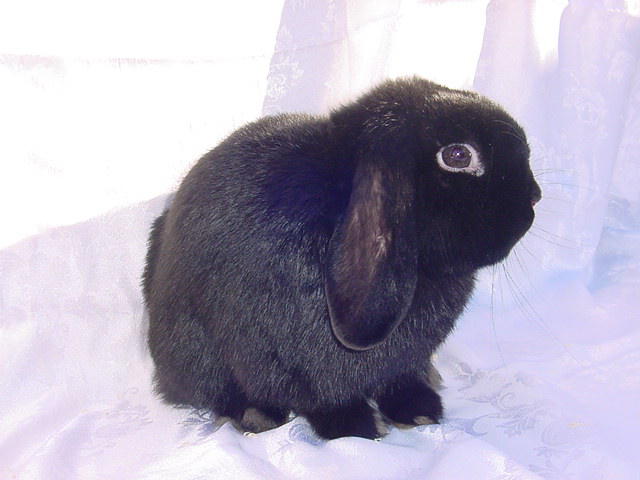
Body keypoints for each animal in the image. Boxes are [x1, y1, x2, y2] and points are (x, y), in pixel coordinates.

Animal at [142, 77, 541, 440]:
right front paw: (362, 428)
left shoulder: (404, 363)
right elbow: (324, 400)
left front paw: (419, 412)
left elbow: (401, 380)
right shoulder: (294, 362)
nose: (535, 197)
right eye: (458, 155)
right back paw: (255, 416)